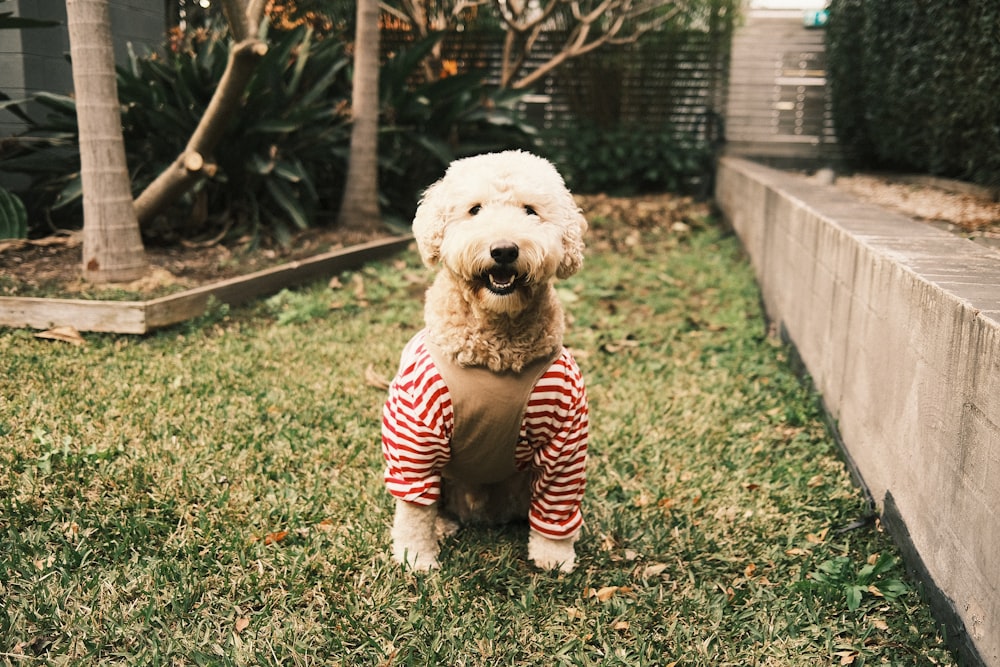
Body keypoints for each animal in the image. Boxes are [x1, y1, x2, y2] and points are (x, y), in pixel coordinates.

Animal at [380, 151, 584, 576]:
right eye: (475, 210)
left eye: (530, 211)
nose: (504, 250)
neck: (494, 354)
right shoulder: (415, 432)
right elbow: (413, 509)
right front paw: (415, 556)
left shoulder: (566, 435)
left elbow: (557, 503)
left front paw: (554, 554)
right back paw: (441, 526)